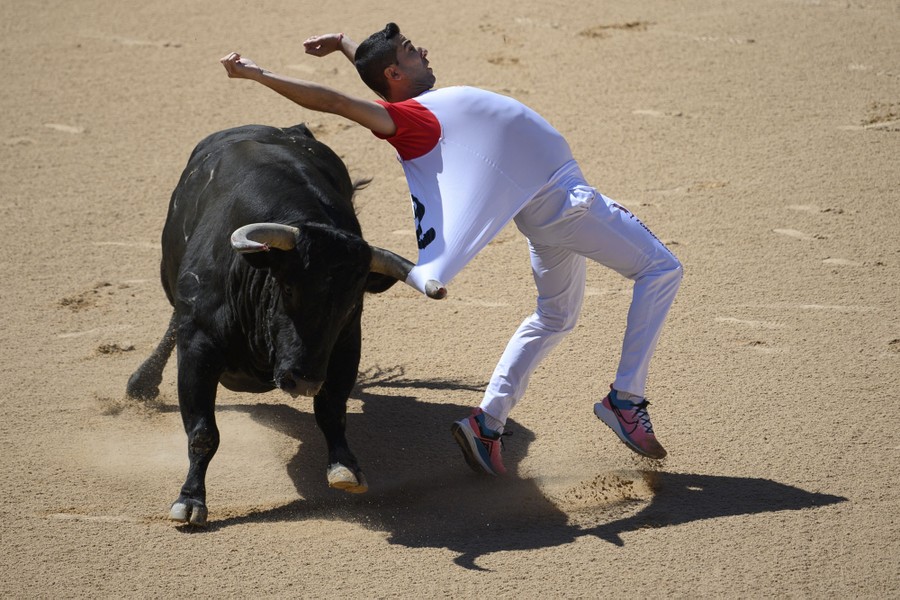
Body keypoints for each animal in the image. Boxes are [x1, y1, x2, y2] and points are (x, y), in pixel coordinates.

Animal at [126, 123, 445, 526]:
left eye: (350, 305)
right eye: (290, 288)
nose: (304, 381)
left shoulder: (345, 347)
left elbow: (332, 410)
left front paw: (344, 467)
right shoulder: (198, 345)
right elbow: (202, 432)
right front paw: (190, 500)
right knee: (172, 324)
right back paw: (141, 383)